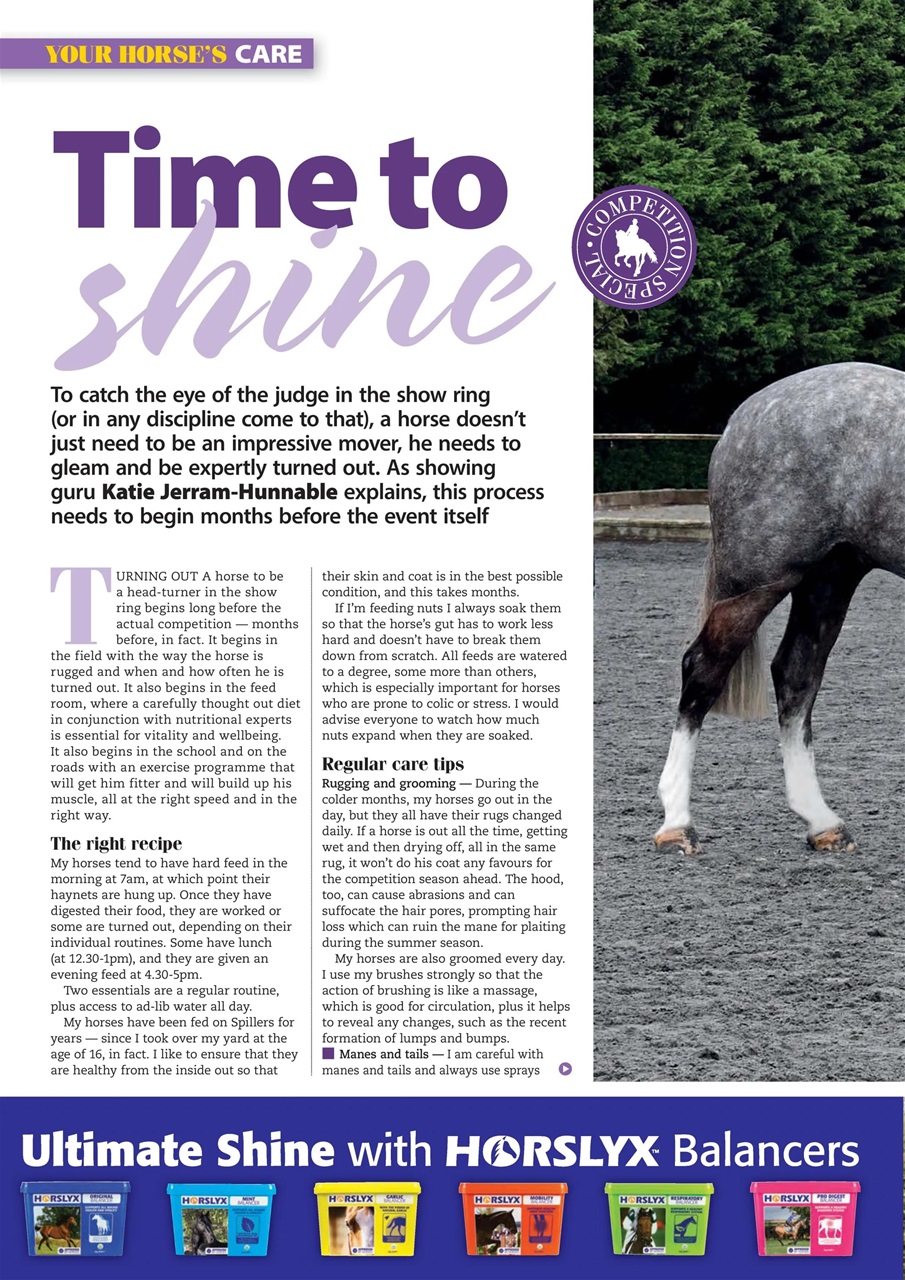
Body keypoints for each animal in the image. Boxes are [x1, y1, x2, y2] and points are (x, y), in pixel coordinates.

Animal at [655, 363, 905, 856]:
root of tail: (741, 419)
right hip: (760, 584)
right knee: (703, 669)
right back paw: (676, 823)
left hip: (829, 576)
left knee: (795, 676)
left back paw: (822, 821)